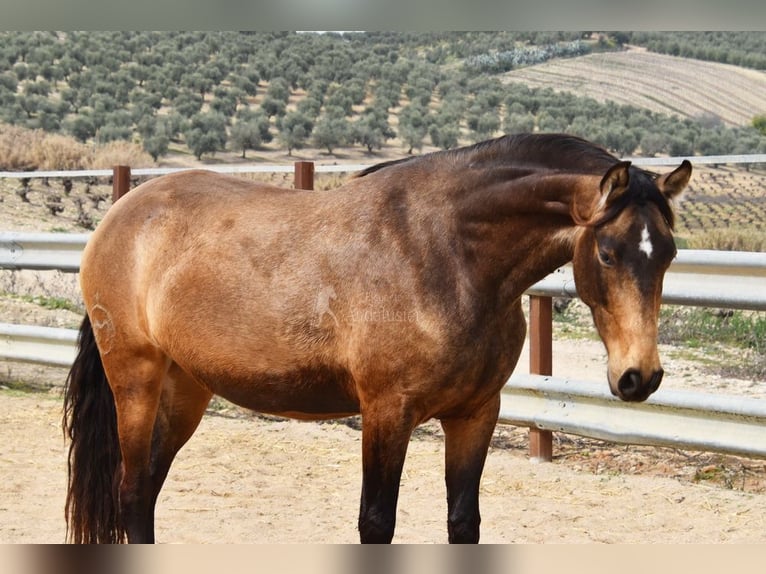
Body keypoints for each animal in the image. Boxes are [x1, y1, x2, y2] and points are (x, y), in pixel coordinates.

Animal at [63, 134, 692, 544]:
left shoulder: (475, 414)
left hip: (187, 389)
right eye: (607, 253)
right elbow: (376, 523)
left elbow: (463, 521)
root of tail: (121, 213)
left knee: (145, 491)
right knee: (130, 491)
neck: (446, 253)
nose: (639, 377)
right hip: (136, 380)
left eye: (667, 252)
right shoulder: (387, 412)